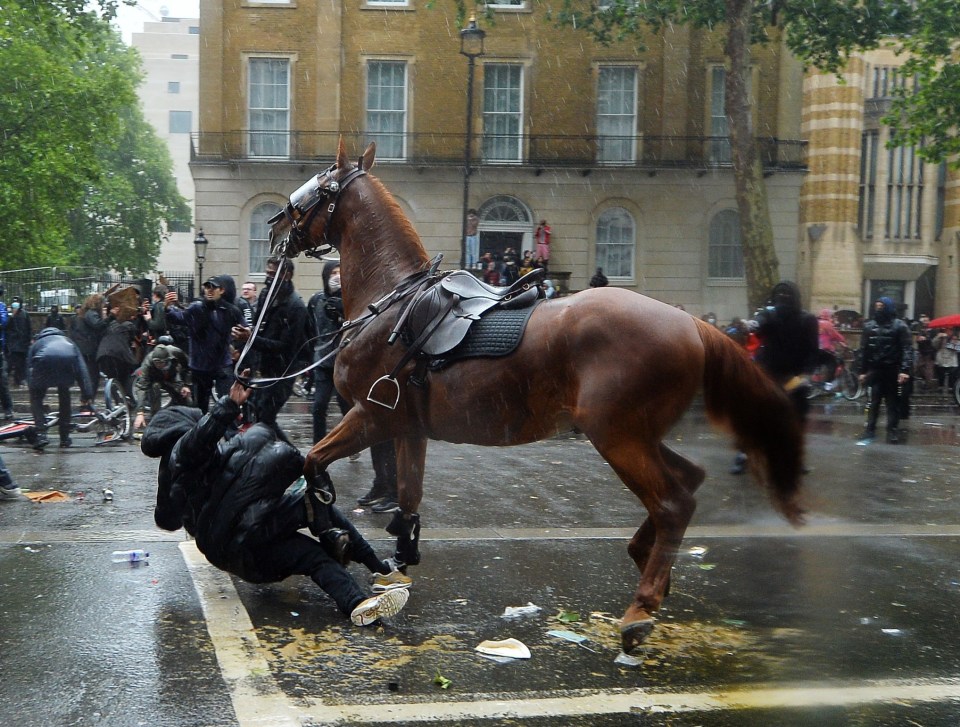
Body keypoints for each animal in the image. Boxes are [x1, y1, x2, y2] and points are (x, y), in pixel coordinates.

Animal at [268, 141, 804, 656]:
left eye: (313, 189)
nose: (275, 232)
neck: (395, 301)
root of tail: (690, 322)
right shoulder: (407, 426)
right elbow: (407, 495)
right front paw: (399, 558)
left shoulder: (372, 416)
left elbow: (313, 462)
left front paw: (334, 532)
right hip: (634, 434)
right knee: (686, 482)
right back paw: (646, 560)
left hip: (617, 436)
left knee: (673, 502)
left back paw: (641, 608)